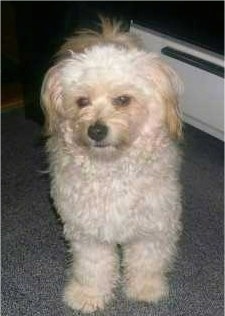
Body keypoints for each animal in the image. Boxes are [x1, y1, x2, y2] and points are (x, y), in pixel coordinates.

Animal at [40, 17, 183, 314]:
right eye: (82, 101)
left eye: (123, 100)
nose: (96, 130)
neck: (112, 170)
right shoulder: (89, 231)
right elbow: (93, 267)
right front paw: (88, 295)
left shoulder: (152, 224)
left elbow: (146, 260)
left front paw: (145, 289)